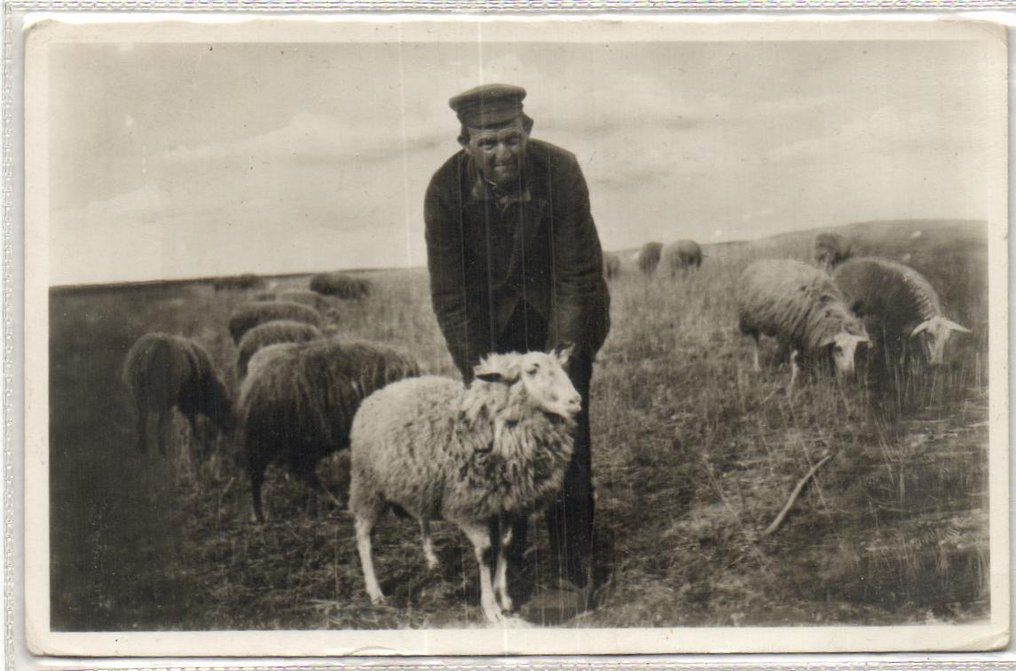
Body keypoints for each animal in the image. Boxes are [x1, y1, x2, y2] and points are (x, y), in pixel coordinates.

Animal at [238, 339, 420, 523]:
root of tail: (254, 371)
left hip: (300, 441)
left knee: (304, 472)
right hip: (265, 438)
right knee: (259, 475)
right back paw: (260, 516)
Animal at [349, 348, 580, 623]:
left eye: (562, 368)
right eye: (532, 370)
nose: (576, 402)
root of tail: (383, 390)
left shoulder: (507, 503)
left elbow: (504, 546)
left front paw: (503, 596)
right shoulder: (470, 505)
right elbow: (485, 551)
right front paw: (490, 607)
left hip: (420, 482)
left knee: (421, 518)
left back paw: (431, 559)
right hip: (368, 485)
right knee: (364, 535)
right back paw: (375, 591)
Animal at [736, 259, 870, 386]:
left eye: (854, 349)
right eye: (839, 349)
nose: (850, 376)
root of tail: (757, 263)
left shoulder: (802, 330)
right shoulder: (791, 330)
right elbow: (794, 356)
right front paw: (794, 380)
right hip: (749, 320)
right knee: (755, 341)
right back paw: (757, 367)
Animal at [832, 257, 970, 367]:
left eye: (946, 339)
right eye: (930, 336)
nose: (936, 363)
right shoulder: (894, 321)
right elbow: (901, 342)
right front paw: (900, 361)